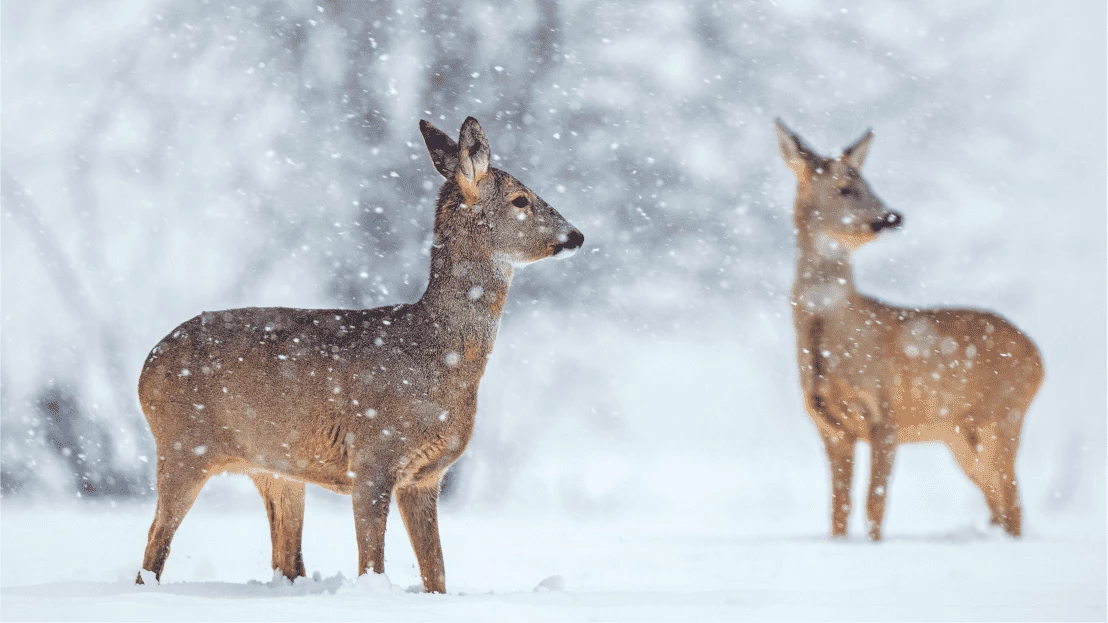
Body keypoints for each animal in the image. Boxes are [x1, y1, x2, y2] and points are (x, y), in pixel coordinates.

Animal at [134, 117, 585, 589]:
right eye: (521, 199)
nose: (576, 235)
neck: (437, 358)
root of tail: (146, 366)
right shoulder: (372, 458)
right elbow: (372, 563)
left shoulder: (425, 477)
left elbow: (436, 572)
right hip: (183, 444)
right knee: (153, 548)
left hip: (275, 469)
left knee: (287, 561)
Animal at [775, 120, 1041, 538]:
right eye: (845, 188)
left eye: (867, 182)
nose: (891, 217)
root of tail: (1039, 358)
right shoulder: (829, 427)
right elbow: (838, 513)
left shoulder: (886, 412)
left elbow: (874, 505)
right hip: (959, 435)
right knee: (998, 501)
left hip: (1006, 415)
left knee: (1012, 502)